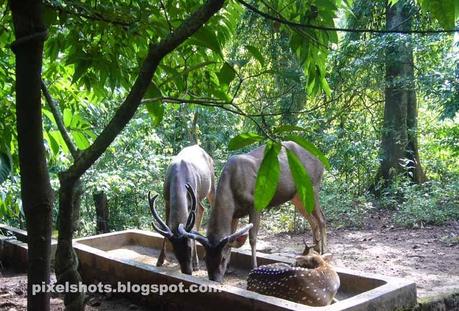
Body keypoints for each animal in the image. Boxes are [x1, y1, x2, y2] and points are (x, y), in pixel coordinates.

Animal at [149, 145, 217, 274]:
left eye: (189, 247)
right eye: (175, 251)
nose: (187, 272)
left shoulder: (193, 198)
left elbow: (193, 228)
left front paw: (196, 263)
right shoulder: (167, 200)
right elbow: (166, 226)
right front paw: (159, 260)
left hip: (211, 186)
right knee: (202, 208)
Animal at [180, 141, 328, 282]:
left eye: (222, 258)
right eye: (205, 258)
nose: (214, 279)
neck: (231, 190)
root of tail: (321, 159)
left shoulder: (255, 205)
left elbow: (252, 239)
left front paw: (254, 267)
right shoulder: (235, 214)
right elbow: (232, 237)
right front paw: (229, 268)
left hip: (313, 185)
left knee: (321, 218)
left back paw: (324, 251)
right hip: (297, 197)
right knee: (313, 221)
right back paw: (314, 251)